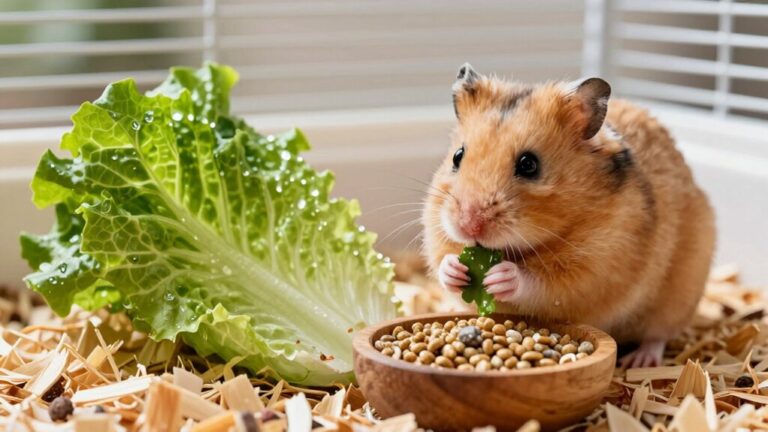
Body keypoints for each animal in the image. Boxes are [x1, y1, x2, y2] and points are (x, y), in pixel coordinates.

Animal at [422, 63, 715, 367]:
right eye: (457, 156)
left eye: (529, 165)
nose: (468, 225)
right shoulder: (436, 230)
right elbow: (443, 260)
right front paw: (454, 269)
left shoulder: (595, 266)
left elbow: (542, 284)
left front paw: (501, 276)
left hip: (679, 294)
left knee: (659, 335)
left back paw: (639, 361)